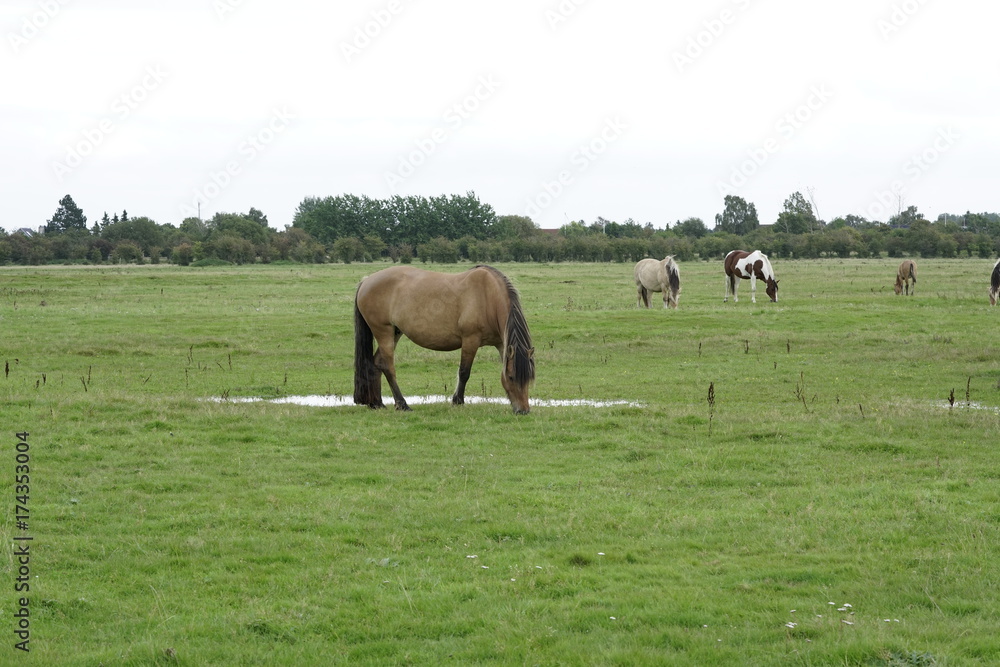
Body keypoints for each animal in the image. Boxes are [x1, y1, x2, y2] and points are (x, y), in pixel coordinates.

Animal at [353, 264, 535, 414]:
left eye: (530, 377)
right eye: (511, 377)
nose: (523, 410)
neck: (487, 296)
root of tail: (366, 281)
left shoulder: (501, 343)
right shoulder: (470, 340)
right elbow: (464, 372)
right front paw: (458, 401)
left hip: (394, 332)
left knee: (377, 362)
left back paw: (377, 403)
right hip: (383, 331)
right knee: (387, 366)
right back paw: (402, 404)